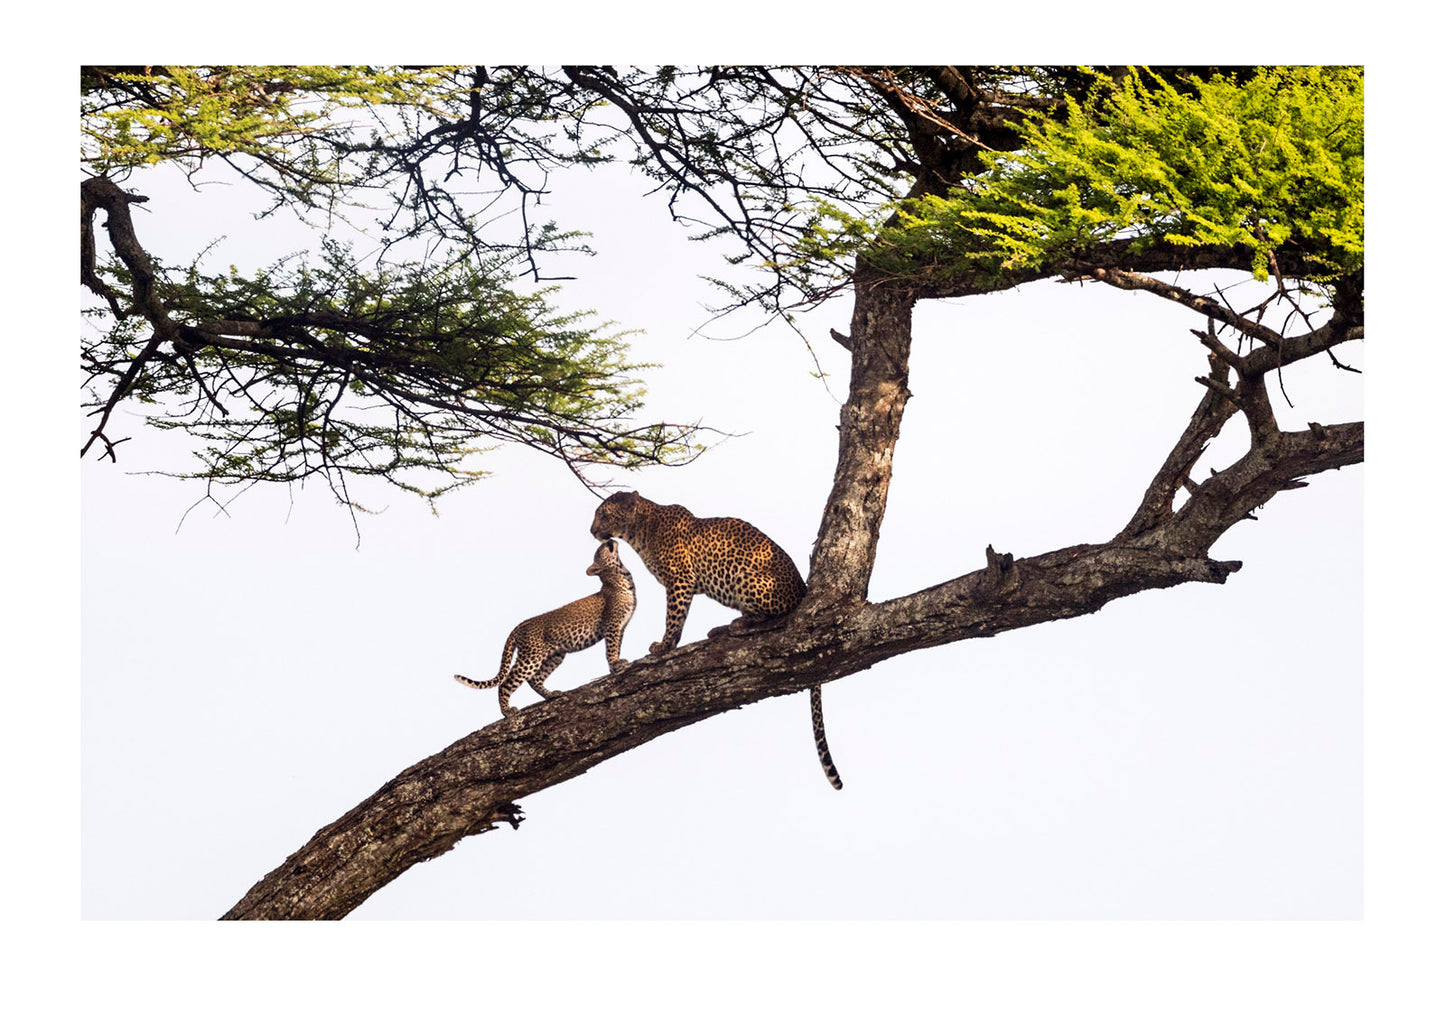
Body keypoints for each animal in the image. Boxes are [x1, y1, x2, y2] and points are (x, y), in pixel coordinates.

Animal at [455, 538, 636, 718]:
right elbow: (611, 649)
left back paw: (551, 695)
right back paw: (507, 711)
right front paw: (616, 664)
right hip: (531, 657)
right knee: (507, 682)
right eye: (598, 551)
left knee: (535, 679)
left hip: (555, 655)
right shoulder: (612, 626)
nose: (608, 540)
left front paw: (615, 666)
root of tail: (520, 625)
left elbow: (617, 647)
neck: (621, 577)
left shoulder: (621, 627)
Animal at [590, 490, 843, 789]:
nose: (592, 531)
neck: (641, 530)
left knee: (771, 614)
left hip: (745, 577)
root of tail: (803, 590)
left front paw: (664, 646)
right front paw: (669, 644)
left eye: (604, 514)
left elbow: (673, 617)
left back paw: (737, 625)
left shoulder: (680, 579)